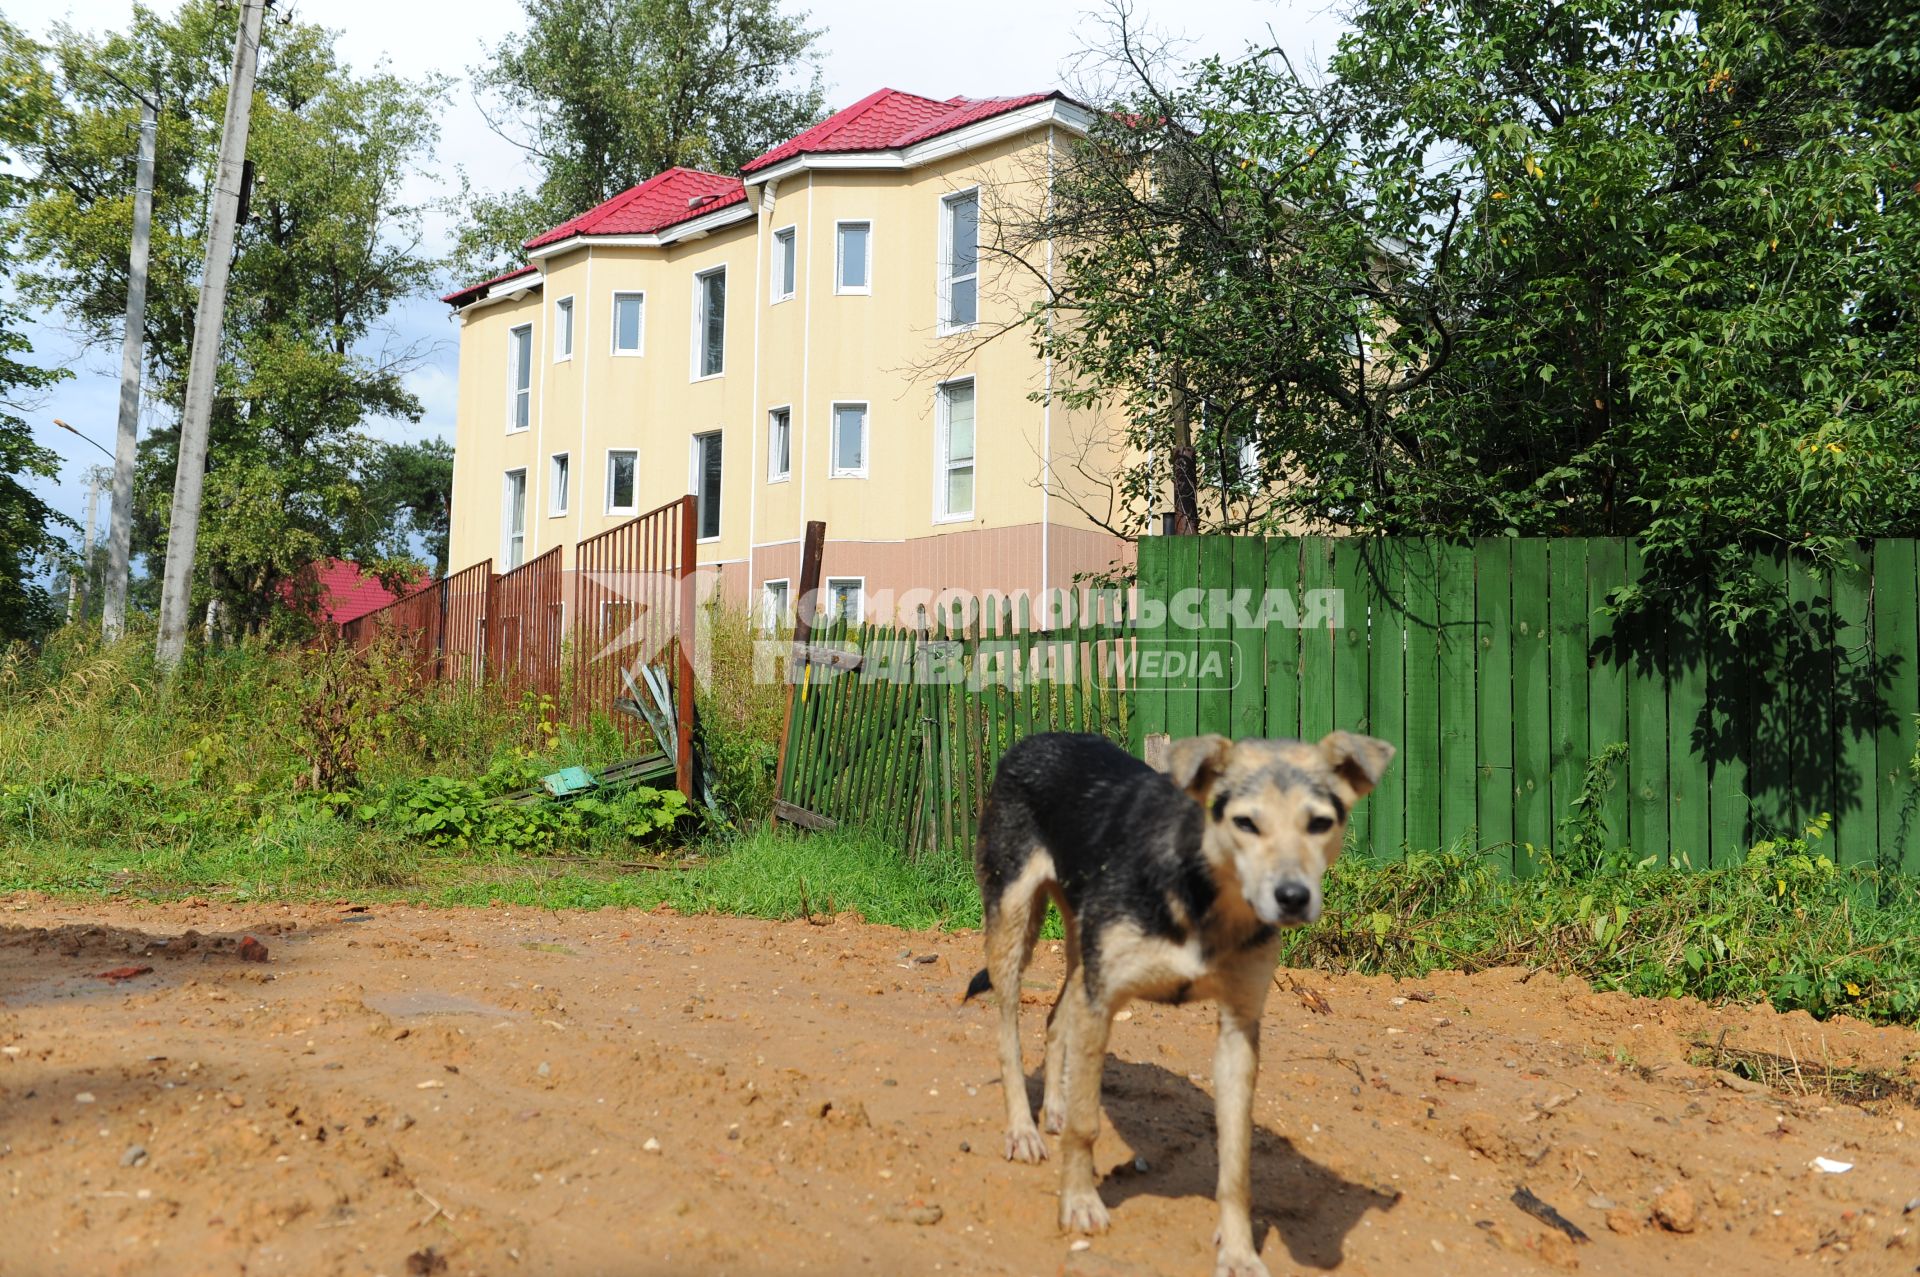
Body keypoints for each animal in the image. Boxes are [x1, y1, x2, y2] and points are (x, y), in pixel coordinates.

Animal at [960, 725, 1397, 1275]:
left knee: (1057, 1019)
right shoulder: (1103, 1001)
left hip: (1082, 945)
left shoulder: (1238, 1027)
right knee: (1009, 1033)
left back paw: (1053, 1108)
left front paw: (1239, 1250)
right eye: (1245, 822)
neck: (1203, 892)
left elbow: (1237, 1162)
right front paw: (1079, 1204)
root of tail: (1037, 736)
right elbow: (1087, 1123)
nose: (1292, 897)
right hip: (1014, 923)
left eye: (1320, 822)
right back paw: (1023, 1129)